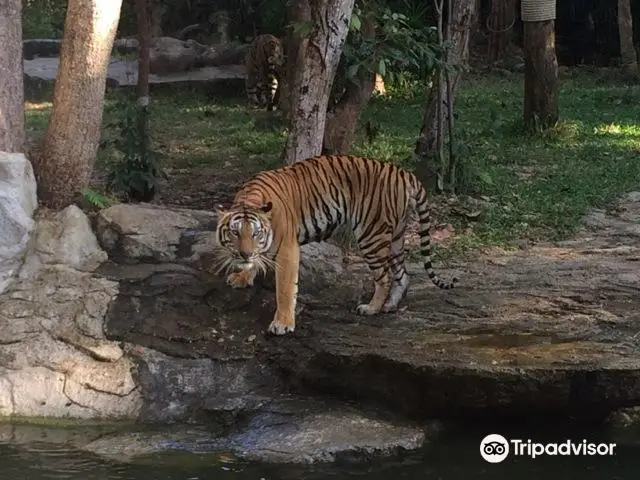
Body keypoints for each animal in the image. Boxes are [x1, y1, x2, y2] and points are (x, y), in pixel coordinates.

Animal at [216, 156, 460, 336]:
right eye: (235, 232)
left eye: (256, 233)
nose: (244, 254)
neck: (249, 198)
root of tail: (403, 173)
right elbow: (257, 261)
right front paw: (242, 277)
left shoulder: (287, 249)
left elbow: (285, 290)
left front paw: (282, 324)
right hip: (396, 236)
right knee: (402, 274)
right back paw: (389, 306)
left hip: (371, 233)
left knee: (385, 276)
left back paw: (371, 308)